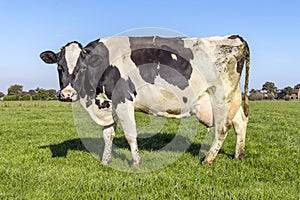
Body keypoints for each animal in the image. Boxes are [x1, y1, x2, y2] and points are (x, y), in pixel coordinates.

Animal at [40, 35, 251, 166]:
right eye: (59, 67)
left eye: (82, 67)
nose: (67, 94)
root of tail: (233, 37)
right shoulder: (108, 103)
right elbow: (108, 135)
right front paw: (105, 161)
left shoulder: (123, 99)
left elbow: (130, 134)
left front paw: (136, 162)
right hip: (232, 98)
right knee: (240, 122)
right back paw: (238, 156)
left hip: (221, 96)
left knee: (222, 128)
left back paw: (208, 159)